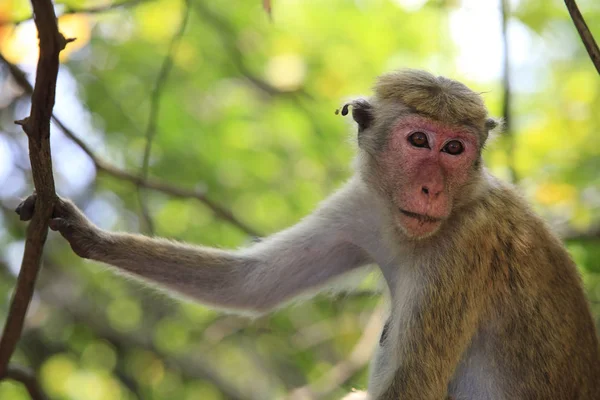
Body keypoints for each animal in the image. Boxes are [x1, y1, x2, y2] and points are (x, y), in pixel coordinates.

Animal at [16, 70, 596, 398]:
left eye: (455, 149)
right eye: (419, 141)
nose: (431, 189)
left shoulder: (466, 246)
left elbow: (412, 386)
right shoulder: (362, 207)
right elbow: (254, 283)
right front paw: (83, 231)